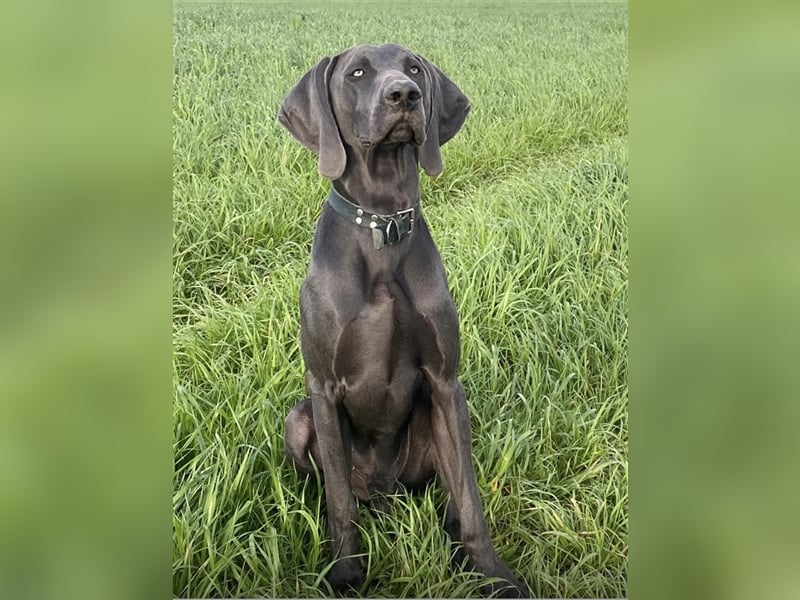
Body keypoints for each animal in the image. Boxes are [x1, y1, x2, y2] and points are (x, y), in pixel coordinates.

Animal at [278, 41, 528, 596]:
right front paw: (345, 574)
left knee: (451, 493)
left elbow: (471, 499)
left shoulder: (445, 382)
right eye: (356, 73)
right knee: (336, 489)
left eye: (413, 67)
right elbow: (340, 504)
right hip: (299, 419)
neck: (383, 223)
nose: (405, 94)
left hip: (437, 420)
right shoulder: (323, 388)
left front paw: (493, 574)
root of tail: (384, 490)